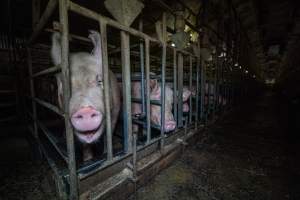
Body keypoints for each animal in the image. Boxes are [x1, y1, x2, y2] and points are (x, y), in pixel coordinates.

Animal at [51, 30, 120, 161]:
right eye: (66, 86)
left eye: (100, 81)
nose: (85, 110)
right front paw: (88, 160)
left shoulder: (115, 111)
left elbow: (108, 133)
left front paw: (106, 154)